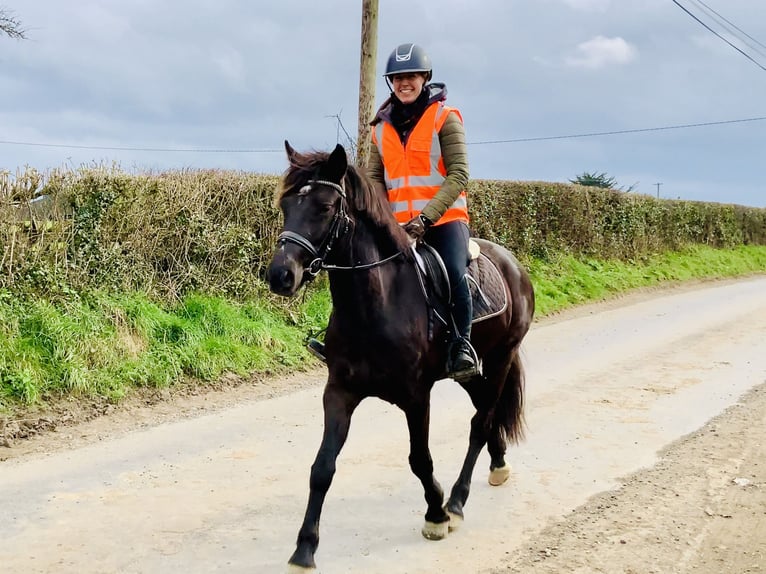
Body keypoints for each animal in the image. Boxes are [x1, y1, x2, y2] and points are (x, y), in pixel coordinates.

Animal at [268, 142, 536, 572]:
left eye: (325, 207)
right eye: (286, 205)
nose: (280, 276)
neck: (376, 305)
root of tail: (513, 265)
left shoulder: (416, 397)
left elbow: (419, 459)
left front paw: (436, 514)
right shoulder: (339, 392)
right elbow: (322, 467)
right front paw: (305, 547)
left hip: (500, 360)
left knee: (480, 424)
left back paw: (457, 500)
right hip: (474, 372)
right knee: (487, 414)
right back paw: (498, 465)